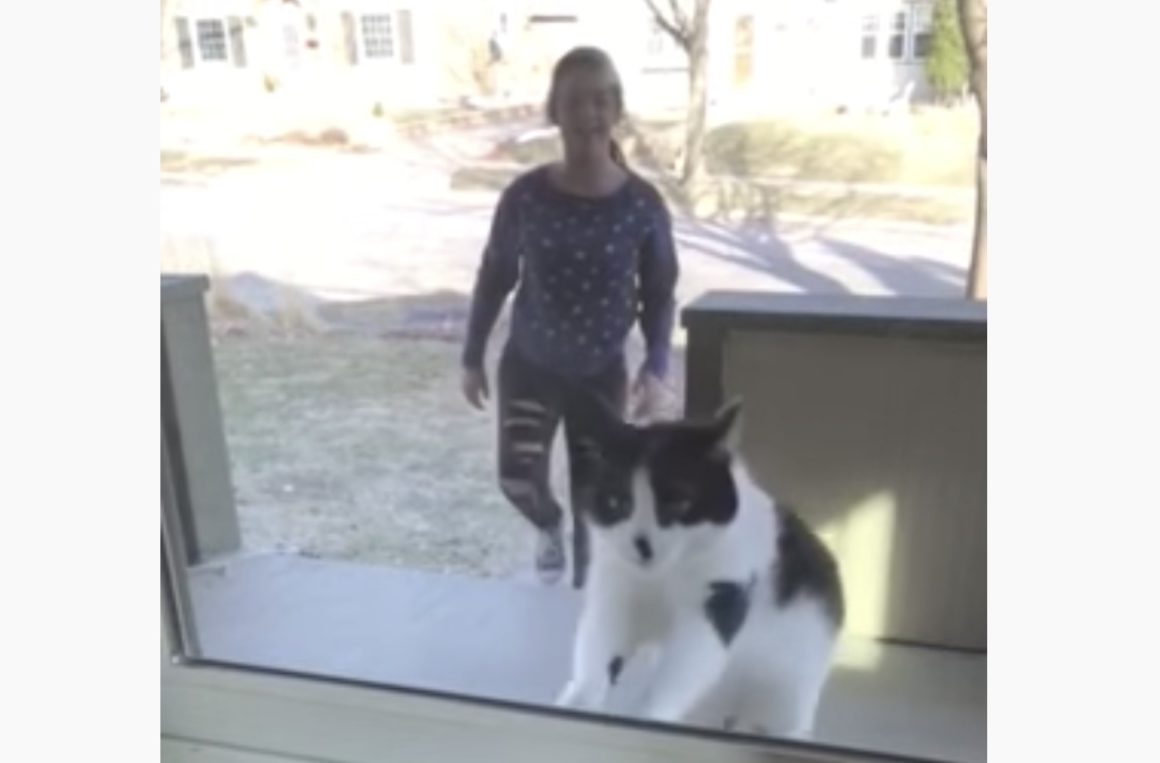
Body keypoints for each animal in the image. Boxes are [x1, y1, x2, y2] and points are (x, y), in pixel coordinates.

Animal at [555, 399, 844, 738]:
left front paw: (646, 717)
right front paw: (576, 703)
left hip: (789, 688)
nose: (643, 545)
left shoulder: (719, 598)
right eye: (616, 502)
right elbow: (596, 653)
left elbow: (677, 673)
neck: (663, 575)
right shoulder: (615, 589)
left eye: (679, 502)